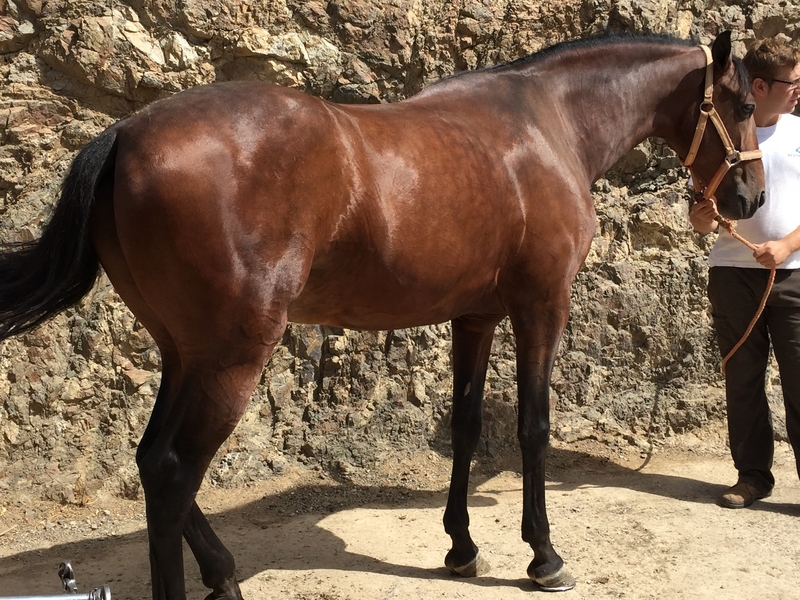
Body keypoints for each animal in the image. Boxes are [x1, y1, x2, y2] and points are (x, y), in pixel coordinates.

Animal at [0, 31, 763, 598]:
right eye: (744, 102)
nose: (752, 196)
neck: (546, 124)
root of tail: (126, 134)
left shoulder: (475, 317)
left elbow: (465, 425)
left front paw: (461, 546)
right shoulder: (541, 306)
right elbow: (533, 428)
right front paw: (543, 555)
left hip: (185, 353)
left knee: (151, 458)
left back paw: (222, 574)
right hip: (233, 356)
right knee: (171, 472)